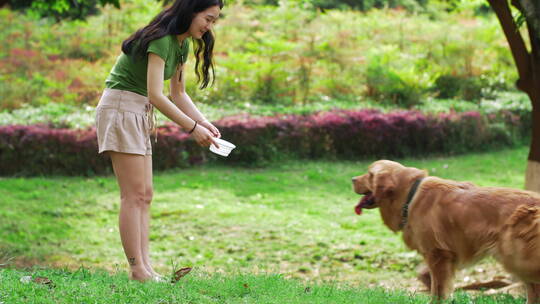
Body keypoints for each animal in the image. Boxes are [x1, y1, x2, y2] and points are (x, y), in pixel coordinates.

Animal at [352, 160, 540, 302]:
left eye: (369, 174)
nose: (352, 178)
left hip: (515, 257)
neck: (410, 196)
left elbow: (438, 289)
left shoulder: (438, 254)